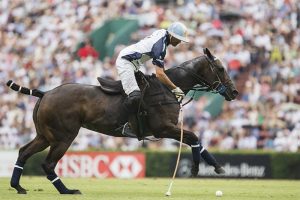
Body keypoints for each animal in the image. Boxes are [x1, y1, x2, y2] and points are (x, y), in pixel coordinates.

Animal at [7, 48, 239, 194]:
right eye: (220, 68)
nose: (235, 92)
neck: (168, 88)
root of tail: (45, 93)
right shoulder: (163, 128)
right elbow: (193, 137)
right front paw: (199, 168)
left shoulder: (168, 129)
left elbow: (195, 139)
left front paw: (212, 168)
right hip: (64, 137)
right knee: (48, 164)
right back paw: (67, 191)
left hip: (45, 135)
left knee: (24, 152)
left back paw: (18, 187)